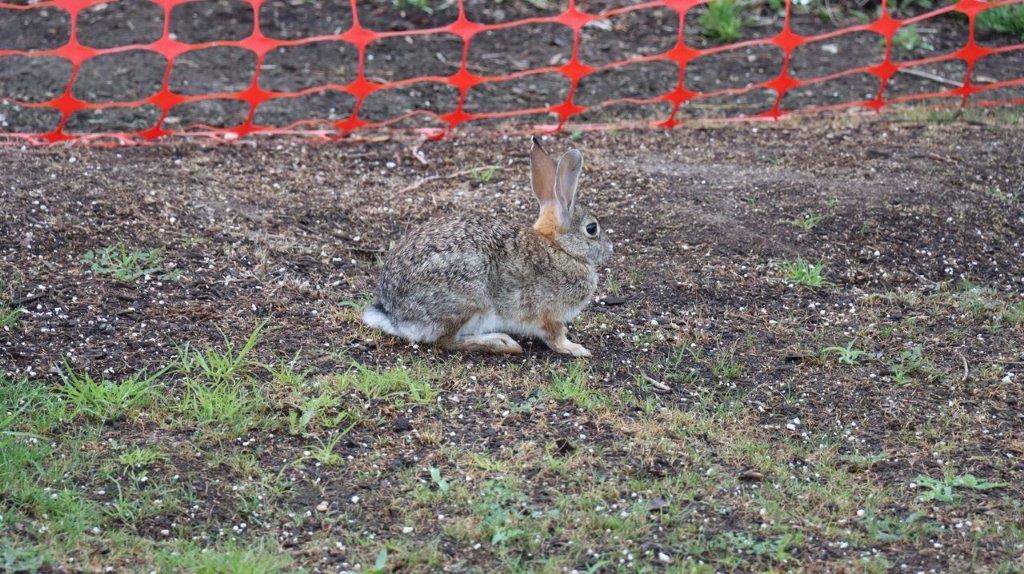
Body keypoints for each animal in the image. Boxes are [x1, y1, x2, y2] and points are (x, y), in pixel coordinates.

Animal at [364, 137, 610, 356]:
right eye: (592, 228)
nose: (610, 249)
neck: (560, 248)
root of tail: (394, 315)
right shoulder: (547, 313)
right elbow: (555, 336)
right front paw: (575, 349)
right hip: (469, 298)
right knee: (447, 340)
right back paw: (501, 342)